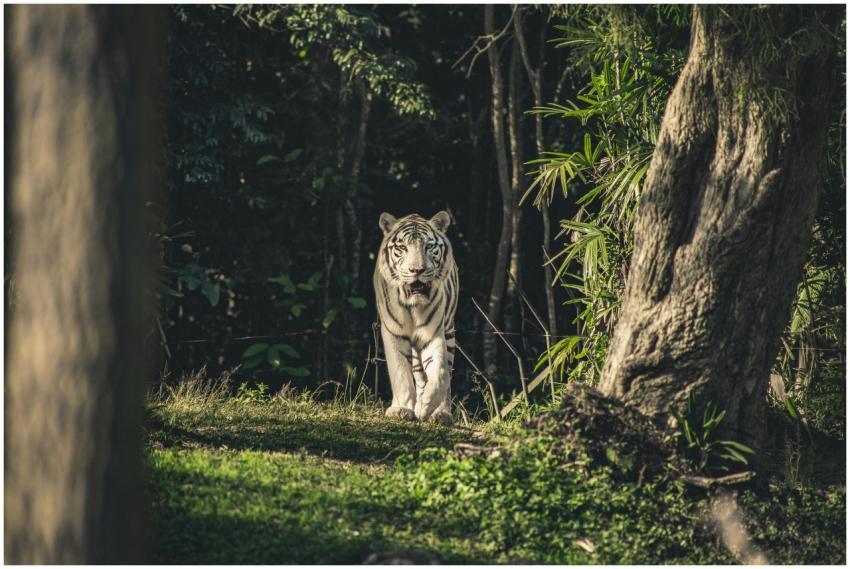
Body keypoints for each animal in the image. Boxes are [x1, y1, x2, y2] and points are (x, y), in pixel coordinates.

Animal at [373, 211, 458, 425]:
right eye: (402, 248)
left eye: (428, 246)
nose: (417, 270)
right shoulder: (393, 333)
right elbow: (401, 372)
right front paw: (402, 409)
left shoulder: (433, 333)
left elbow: (440, 372)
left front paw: (426, 406)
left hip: (449, 331)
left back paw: (441, 413)